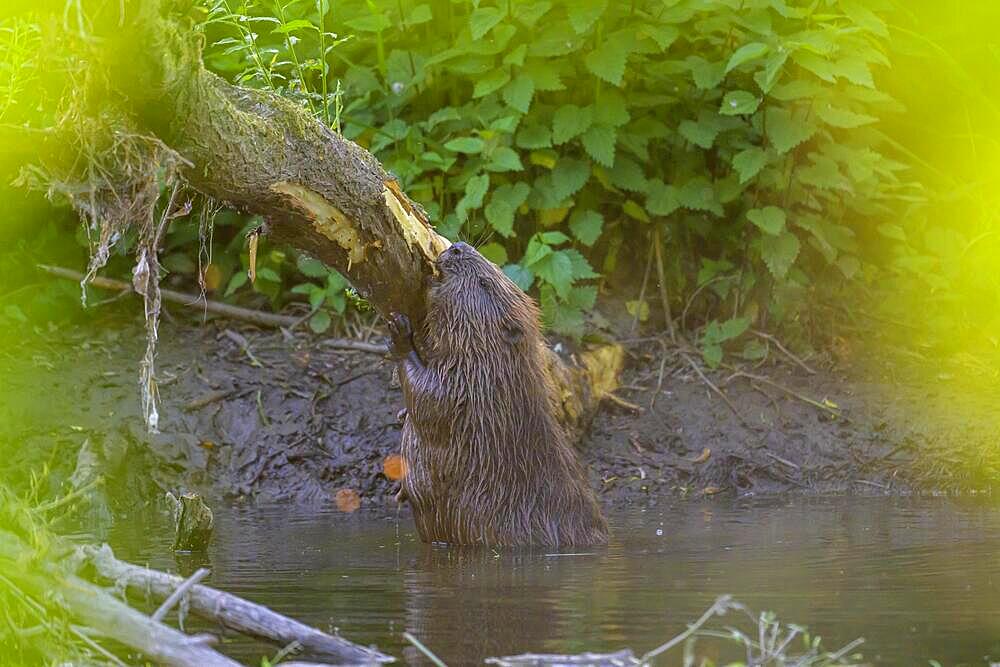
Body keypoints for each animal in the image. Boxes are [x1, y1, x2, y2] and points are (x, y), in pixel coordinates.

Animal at [388, 243, 608, 544]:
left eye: (484, 283)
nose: (457, 248)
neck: (493, 370)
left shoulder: (465, 391)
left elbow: (427, 398)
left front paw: (398, 331)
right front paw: (400, 414)